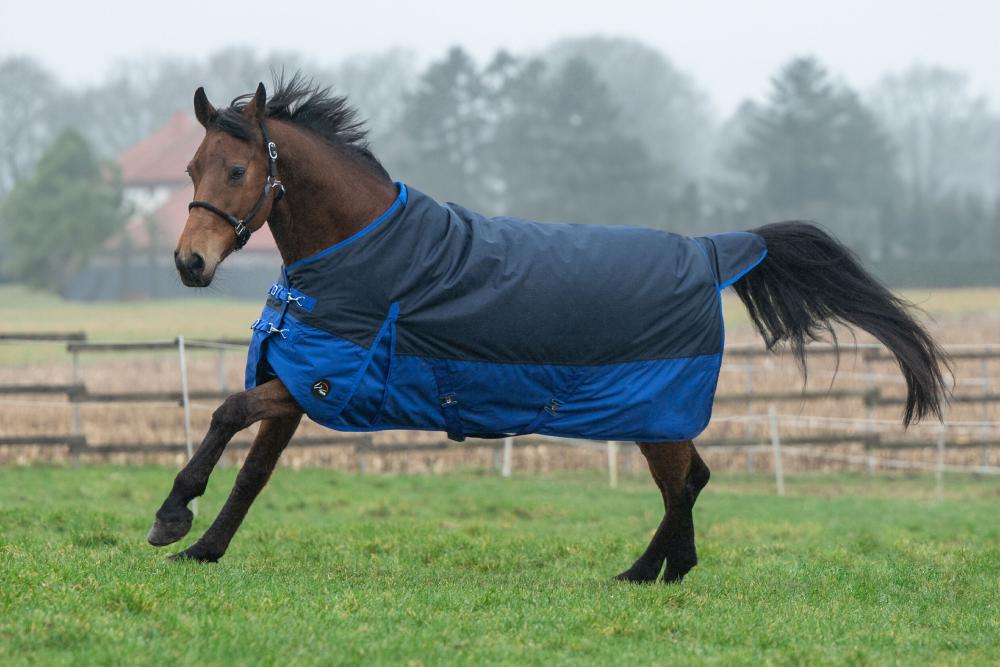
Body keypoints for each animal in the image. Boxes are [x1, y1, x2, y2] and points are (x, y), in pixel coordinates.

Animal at [150, 75, 948, 583]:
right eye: (190, 167)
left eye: (238, 169)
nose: (189, 263)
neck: (361, 252)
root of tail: (710, 250)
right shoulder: (298, 381)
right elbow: (253, 471)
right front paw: (202, 548)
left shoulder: (324, 382)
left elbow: (225, 414)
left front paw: (171, 515)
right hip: (654, 413)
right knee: (690, 480)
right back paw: (662, 569)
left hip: (654, 407)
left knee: (685, 481)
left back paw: (647, 571)